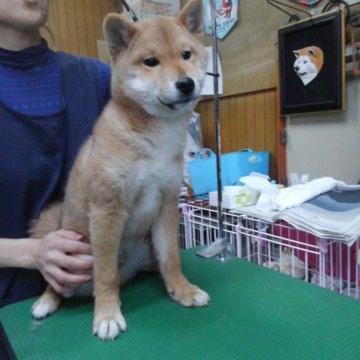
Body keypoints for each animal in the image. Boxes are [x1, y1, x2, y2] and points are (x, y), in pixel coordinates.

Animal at [32, 0, 211, 338]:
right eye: (151, 62)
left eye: (186, 54)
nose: (186, 83)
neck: (155, 137)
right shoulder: (107, 209)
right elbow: (105, 273)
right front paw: (106, 315)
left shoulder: (166, 202)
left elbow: (171, 257)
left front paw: (181, 290)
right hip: (69, 241)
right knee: (56, 282)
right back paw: (46, 301)